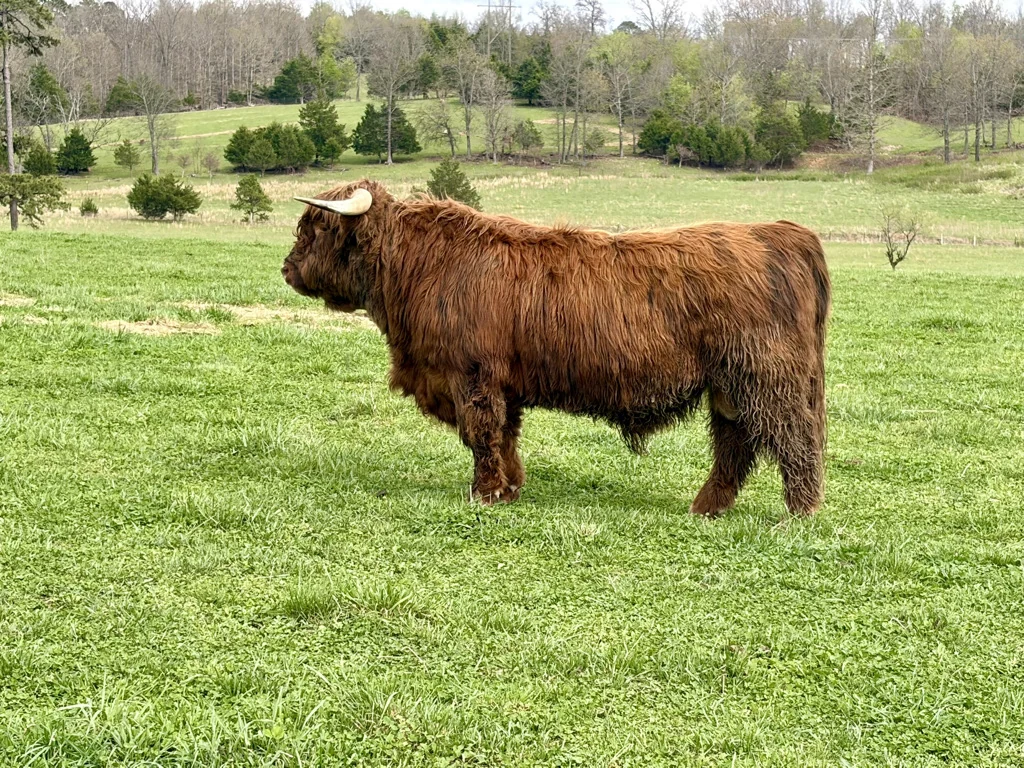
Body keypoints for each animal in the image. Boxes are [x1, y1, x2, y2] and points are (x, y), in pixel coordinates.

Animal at [283, 180, 831, 517]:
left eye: (317, 228)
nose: (287, 269)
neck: (416, 266)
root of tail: (780, 233)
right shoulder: (501, 382)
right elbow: (505, 434)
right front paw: (509, 487)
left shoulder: (472, 375)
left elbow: (482, 433)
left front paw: (485, 492)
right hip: (728, 386)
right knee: (736, 443)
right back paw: (707, 507)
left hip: (767, 377)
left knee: (793, 438)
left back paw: (799, 513)